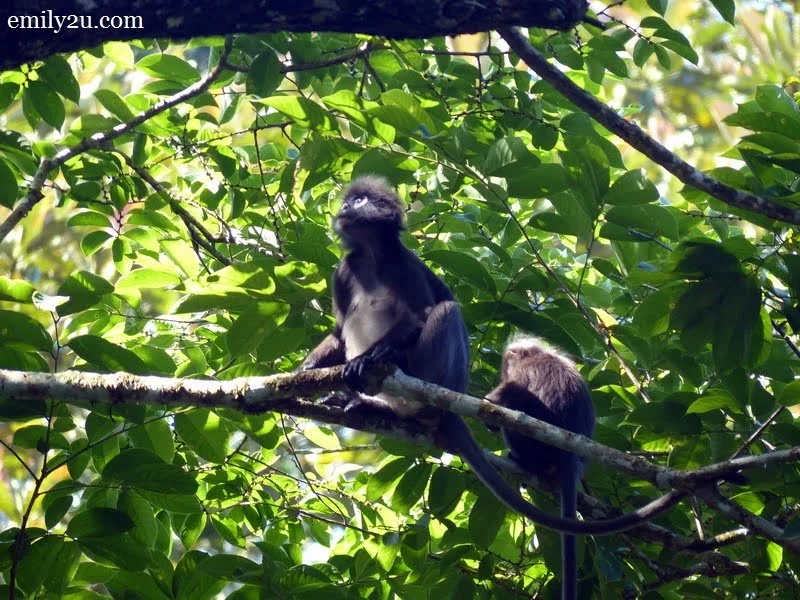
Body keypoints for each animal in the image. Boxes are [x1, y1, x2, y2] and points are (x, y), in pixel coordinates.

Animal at [299, 175, 685, 540]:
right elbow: (339, 331)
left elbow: (421, 314)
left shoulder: (403, 262)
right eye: (349, 201)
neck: (371, 254)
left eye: (359, 200)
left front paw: (374, 354)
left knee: (446, 311)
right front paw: (306, 370)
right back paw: (368, 403)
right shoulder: (344, 271)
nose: (344, 208)